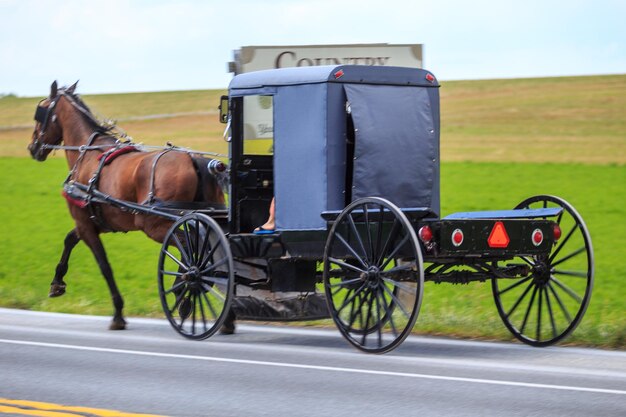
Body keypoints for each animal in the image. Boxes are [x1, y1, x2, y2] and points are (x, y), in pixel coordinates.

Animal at [28, 80, 227, 328]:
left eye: (41, 112)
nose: (32, 148)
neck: (87, 153)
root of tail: (194, 159)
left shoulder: (85, 223)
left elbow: (104, 266)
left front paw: (118, 314)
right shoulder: (95, 222)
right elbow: (69, 239)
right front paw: (57, 283)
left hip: (155, 225)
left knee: (194, 248)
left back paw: (185, 290)